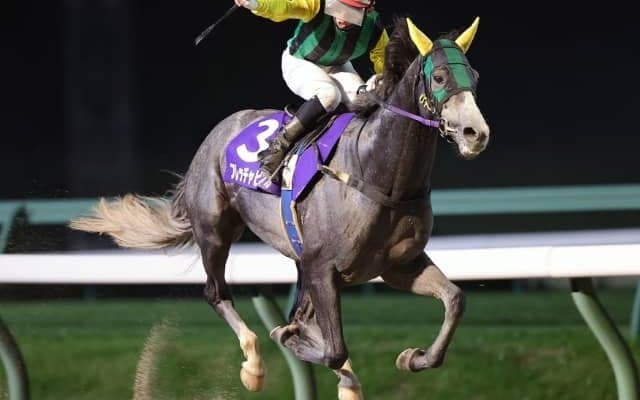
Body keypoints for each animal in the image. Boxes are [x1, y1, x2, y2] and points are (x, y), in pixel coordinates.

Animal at [70, 16, 490, 400]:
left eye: (474, 75)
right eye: (439, 77)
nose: (476, 134)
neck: (376, 172)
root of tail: (219, 131)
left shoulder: (397, 266)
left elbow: (455, 300)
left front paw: (413, 358)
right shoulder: (322, 267)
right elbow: (328, 346)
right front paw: (290, 336)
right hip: (215, 230)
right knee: (216, 292)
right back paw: (254, 366)